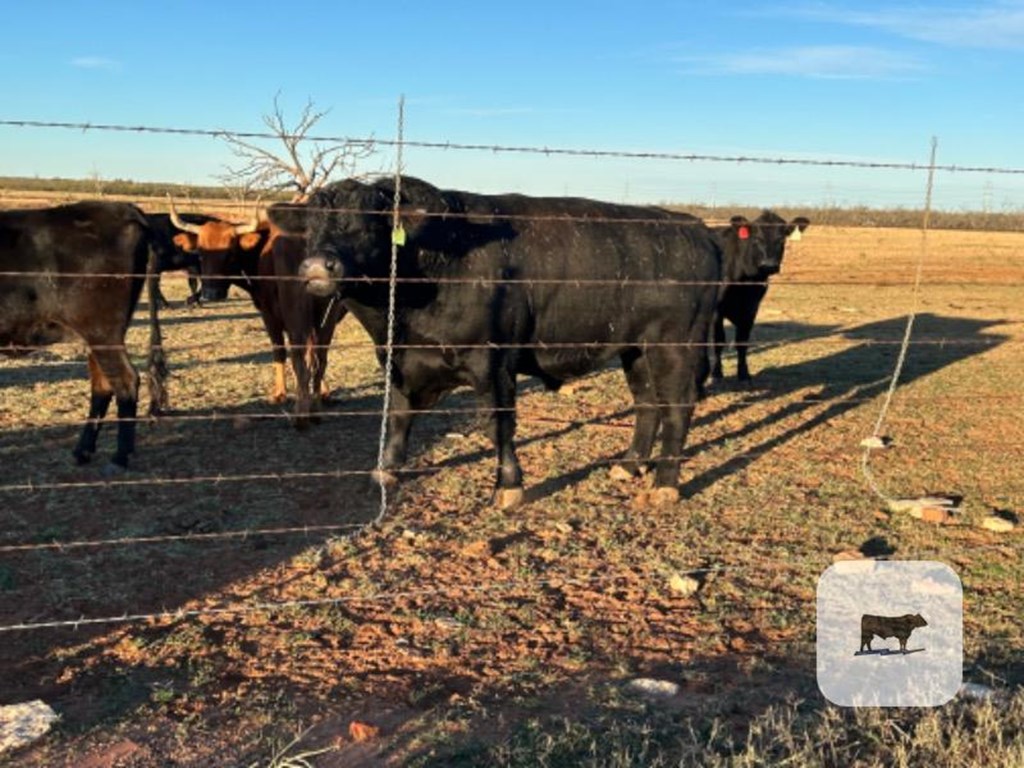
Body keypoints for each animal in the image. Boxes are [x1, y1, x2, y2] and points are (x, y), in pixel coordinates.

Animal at [1, 201, 167, 473]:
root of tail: (124, 209)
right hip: (97, 337)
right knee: (103, 385)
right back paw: (84, 451)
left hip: (103, 332)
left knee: (125, 380)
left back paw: (119, 457)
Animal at [268, 177, 749, 507]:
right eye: (310, 228)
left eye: (372, 225)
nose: (318, 265)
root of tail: (695, 228)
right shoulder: (402, 364)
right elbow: (399, 418)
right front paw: (385, 472)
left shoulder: (493, 362)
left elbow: (498, 425)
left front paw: (509, 486)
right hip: (635, 349)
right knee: (647, 403)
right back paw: (630, 465)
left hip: (676, 346)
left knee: (678, 406)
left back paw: (665, 484)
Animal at [712, 210, 806, 382]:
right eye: (756, 238)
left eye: (782, 238)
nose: (769, 265)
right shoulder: (717, 310)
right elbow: (719, 340)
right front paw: (717, 373)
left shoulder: (751, 309)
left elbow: (742, 342)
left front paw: (744, 374)